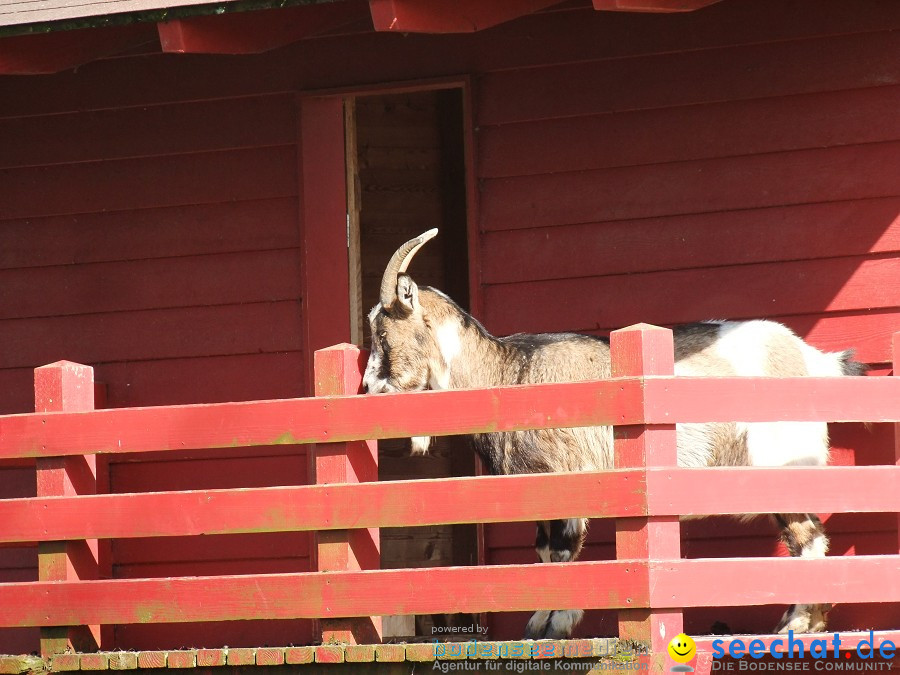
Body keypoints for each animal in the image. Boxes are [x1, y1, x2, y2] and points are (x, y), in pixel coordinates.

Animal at [362, 230, 868, 640]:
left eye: (383, 335)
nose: (367, 390)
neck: (510, 373)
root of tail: (813, 361)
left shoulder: (567, 476)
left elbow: (562, 551)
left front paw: (560, 624)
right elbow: (543, 551)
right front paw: (539, 624)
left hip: (783, 463)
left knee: (807, 536)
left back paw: (798, 624)